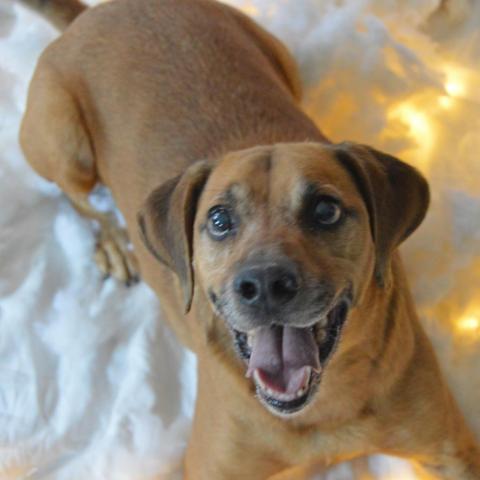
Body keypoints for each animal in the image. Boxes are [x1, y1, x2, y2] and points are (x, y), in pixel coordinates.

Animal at [16, 0, 478, 476]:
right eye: (219, 219)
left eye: (326, 210)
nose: (265, 285)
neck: (325, 408)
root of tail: (93, 13)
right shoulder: (210, 466)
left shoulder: (451, 449)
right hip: (62, 140)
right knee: (77, 197)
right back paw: (110, 242)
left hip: (278, 56)